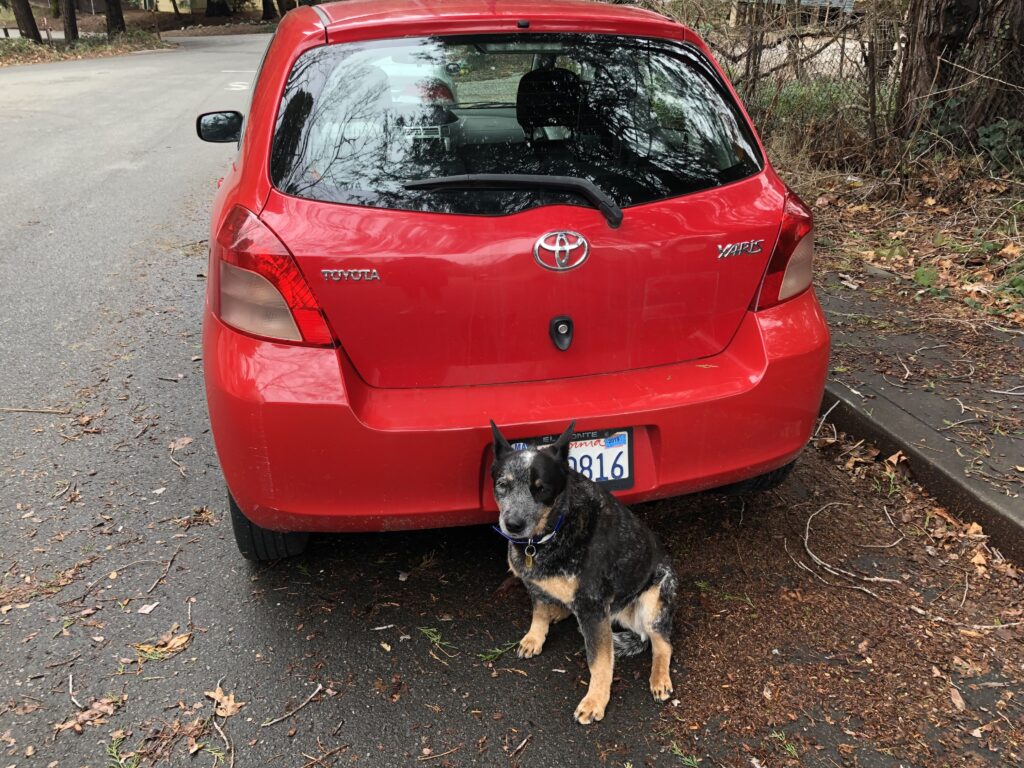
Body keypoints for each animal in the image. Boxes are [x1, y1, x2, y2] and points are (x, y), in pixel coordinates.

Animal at [489, 421, 675, 729]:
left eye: (541, 489)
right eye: (503, 484)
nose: (512, 524)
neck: (552, 532)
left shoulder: (592, 607)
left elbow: (598, 662)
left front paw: (595, 701)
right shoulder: (534, 583)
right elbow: (539, 611)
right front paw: (535, 636)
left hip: (656, 597)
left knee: (662, 643)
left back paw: (659, 678)